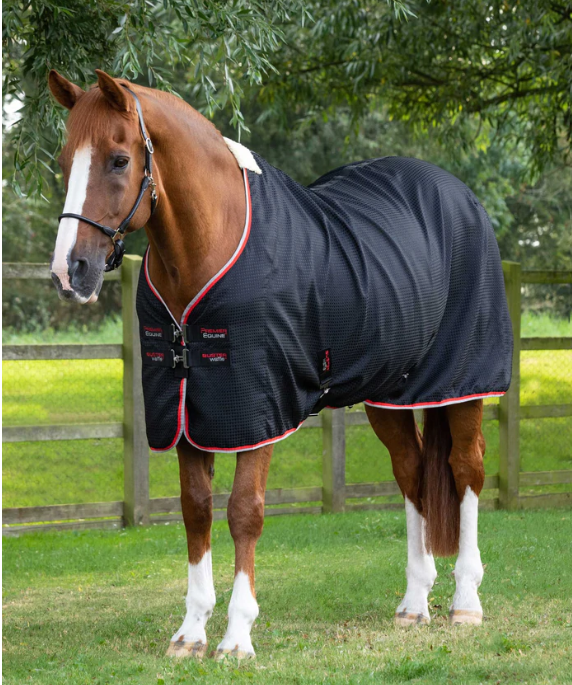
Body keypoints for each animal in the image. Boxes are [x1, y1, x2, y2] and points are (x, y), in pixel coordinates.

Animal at [48, 69, 512, 659]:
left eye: (118, 159)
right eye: (64, 160)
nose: (70, 271)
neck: (212, 245)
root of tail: (459, 194)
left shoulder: (257, 407)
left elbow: (244, 511)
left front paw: (236, 636)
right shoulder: (187, 410)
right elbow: (196, 509)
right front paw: (191, 632)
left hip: (462, 382)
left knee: (466, 469)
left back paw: (465, 602)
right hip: (389, 393)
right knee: (411, 474)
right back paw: (413, 603)